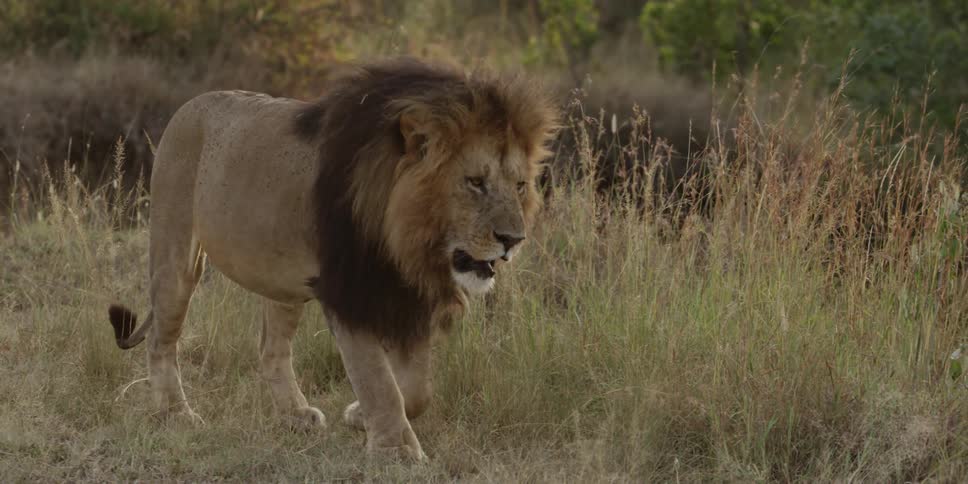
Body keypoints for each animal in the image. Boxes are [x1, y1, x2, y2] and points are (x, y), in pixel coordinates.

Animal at [107, 57, 558, 461]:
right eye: (475, 182)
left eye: (520, 185)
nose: (513, 240)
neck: (410, 242)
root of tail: (189, 105)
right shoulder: (348, 292)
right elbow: (378, 379)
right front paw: (397, 452)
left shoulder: (406, 296)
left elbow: (417, 389)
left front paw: (359, 417)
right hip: (177, 254)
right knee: (162, 340)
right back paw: (176, 414)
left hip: (284, 281)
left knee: (271, 348)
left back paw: (294, 415)